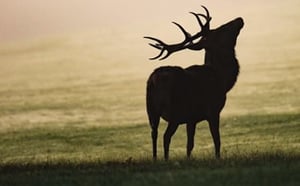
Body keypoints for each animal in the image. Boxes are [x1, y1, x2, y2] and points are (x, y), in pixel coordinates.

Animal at [144, 5, 244, 160]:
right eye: (220, 30)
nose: (239, 19)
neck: (222, 79)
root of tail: (155, 80)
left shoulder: (191, 118)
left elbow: (189, 145)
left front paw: (188, 159)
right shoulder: (213, 110)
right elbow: (217, 140)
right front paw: (217, 158)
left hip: (151, 109)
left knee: (154, 133)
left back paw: (155, 159)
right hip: (175, 110)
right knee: (166, 136)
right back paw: (165, 159)